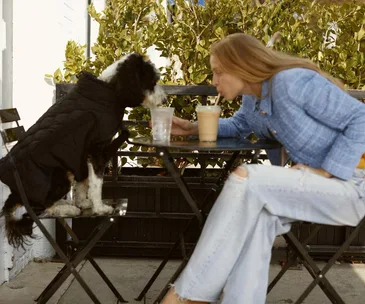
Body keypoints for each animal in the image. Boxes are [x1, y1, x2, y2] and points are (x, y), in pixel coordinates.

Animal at [0, 52, 165, 247]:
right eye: (152, 81)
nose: (164, 100)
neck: (110, 90)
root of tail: (15, 193)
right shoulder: (97, 148)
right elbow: (96, 182)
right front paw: (99, 207)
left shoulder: (81, 154)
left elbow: (83, 182)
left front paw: (84, 202)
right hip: (59, 177)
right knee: (37, 209)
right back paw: (67, 209)